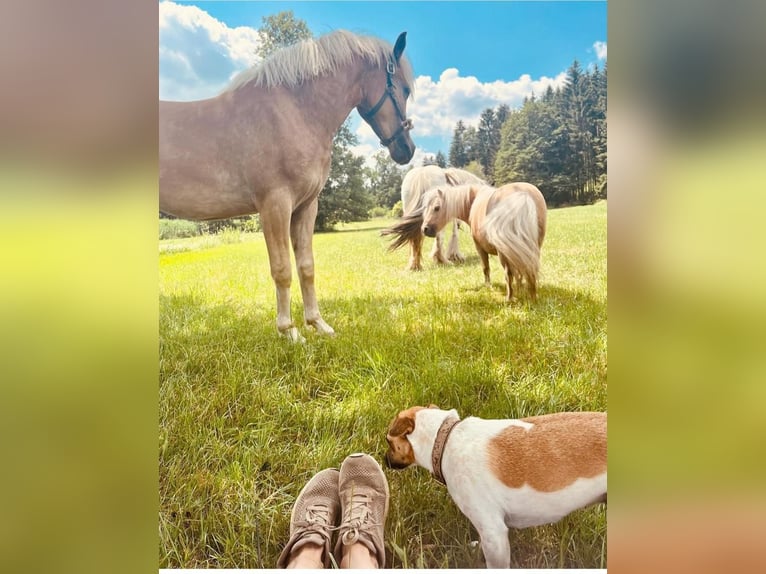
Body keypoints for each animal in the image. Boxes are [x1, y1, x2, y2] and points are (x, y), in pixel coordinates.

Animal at [158, 30, 416, 342]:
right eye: (404, 89)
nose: (407, 149)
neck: (295, 111)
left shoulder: (306, 206)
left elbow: (306, 266)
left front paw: (317, 323)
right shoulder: (275, 205)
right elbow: (282, 269)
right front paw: (289, 331)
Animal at [388, 183, 548, 302]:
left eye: (436, 208)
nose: (425, 229)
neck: (474, 199)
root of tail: (521, 195)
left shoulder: (480, 248)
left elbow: (486, 268)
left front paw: (488, 286)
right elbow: (519, 272)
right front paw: (520, 288)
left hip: (504, 252)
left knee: (508, 273)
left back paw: (509, 299)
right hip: (533, 247)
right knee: (530, 269)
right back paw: (532, 296)